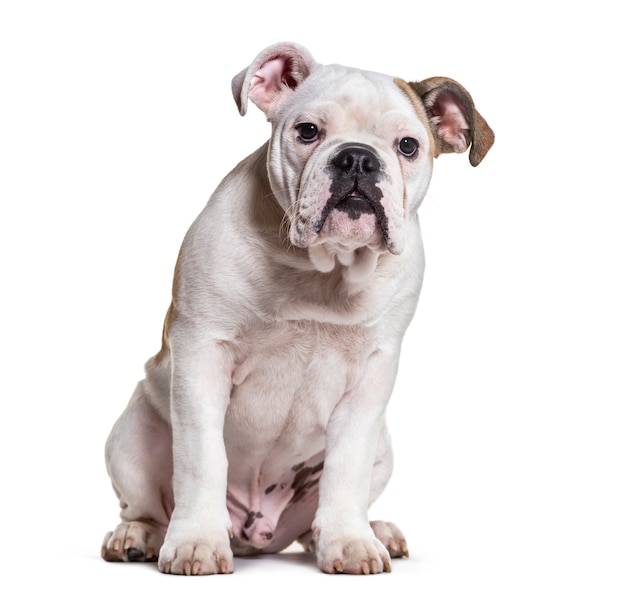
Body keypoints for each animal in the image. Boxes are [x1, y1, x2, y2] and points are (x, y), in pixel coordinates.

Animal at [101, 40, 492, 572]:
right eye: (308, 131)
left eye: (408, 146)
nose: (357, 159)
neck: (322, 269)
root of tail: (258, 532)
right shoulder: (203, 352)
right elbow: (202, 460)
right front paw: (197, 541)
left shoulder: (372, 376)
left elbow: (346, 468)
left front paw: (350, 541)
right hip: (132, 435)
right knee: (145, 504)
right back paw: (137, 535)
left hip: (383, 449)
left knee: (317, 518)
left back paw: (372, 530)